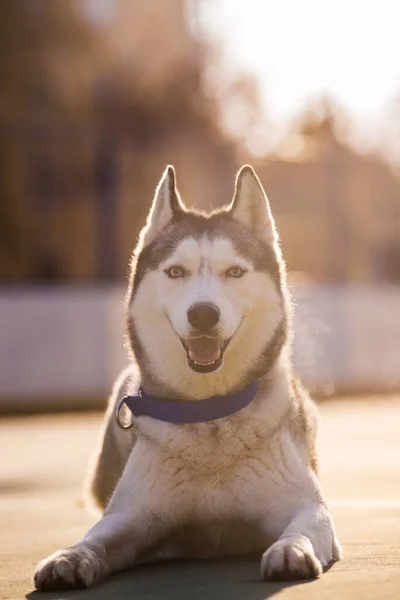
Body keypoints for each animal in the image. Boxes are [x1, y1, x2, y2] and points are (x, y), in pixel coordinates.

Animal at [33, 166, 340, 588]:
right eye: (176, 271)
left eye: (235, 271)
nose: (203, 313)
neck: (209, 415)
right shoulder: (129, 517)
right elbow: (95, 540)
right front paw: (69, 556)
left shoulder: (308, 507)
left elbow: (302, 527)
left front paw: (290, 550)